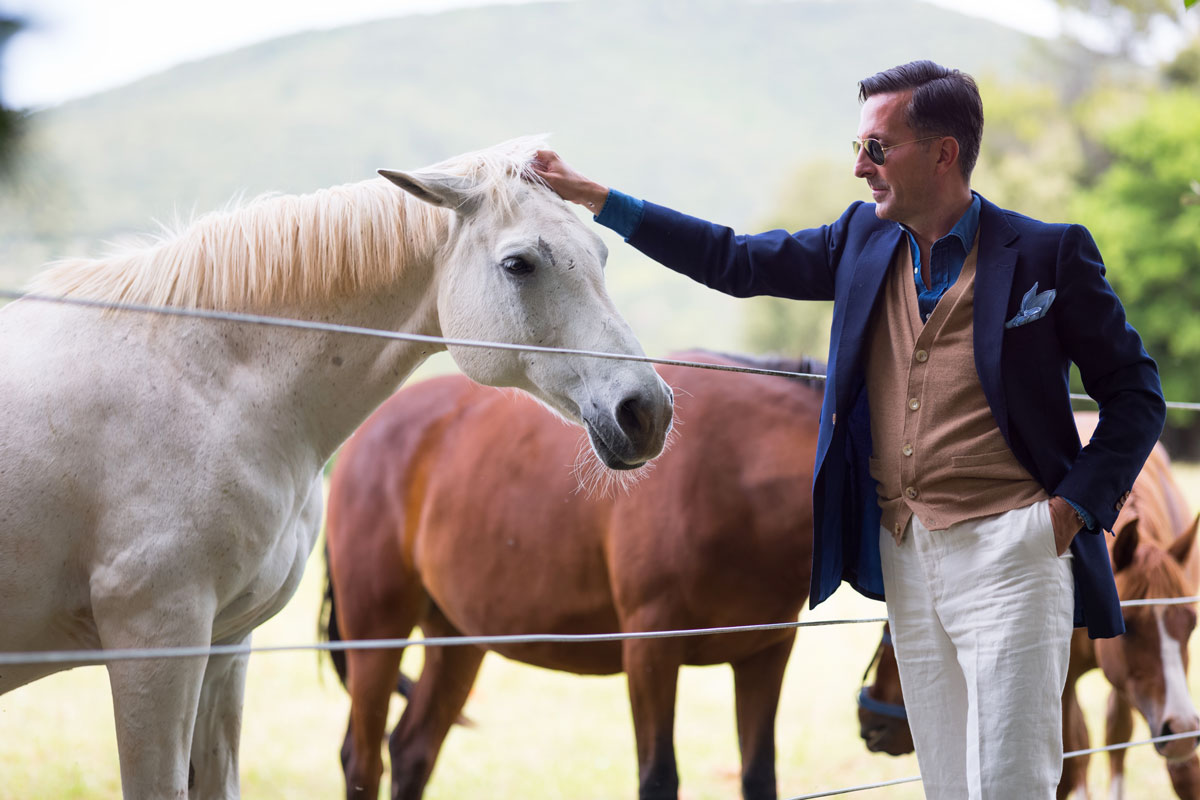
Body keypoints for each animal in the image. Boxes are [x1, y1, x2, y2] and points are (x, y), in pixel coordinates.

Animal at [0, 134, 676, 796]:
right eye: (519, 264)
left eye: (601, 253)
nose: (647, 410)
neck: (205, 382)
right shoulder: (156, 643)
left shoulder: (226, 646)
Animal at [319, 350, 825, 800]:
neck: (733, 468)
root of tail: (360, 438)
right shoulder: (651, 651)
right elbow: (658, 779)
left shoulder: (766, 654)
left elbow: (759, 777)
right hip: (376, 632)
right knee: (362, 761)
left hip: (456, 640)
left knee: (411, 750)